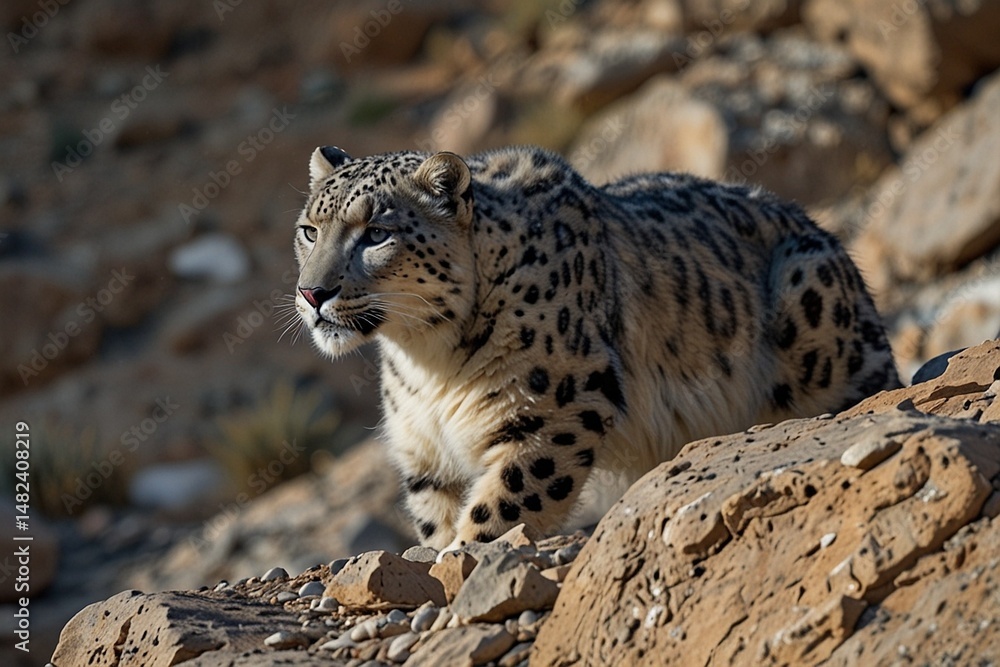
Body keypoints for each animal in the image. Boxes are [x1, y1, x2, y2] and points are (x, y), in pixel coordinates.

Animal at [293, 144, 900, 555]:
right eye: (309, 229)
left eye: (376, 233)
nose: (312, 292)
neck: (427, 362)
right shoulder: (424, 457)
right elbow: (437, 518)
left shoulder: (554, 410)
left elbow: (503, 503)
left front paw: (464, 556)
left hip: (813, 305)